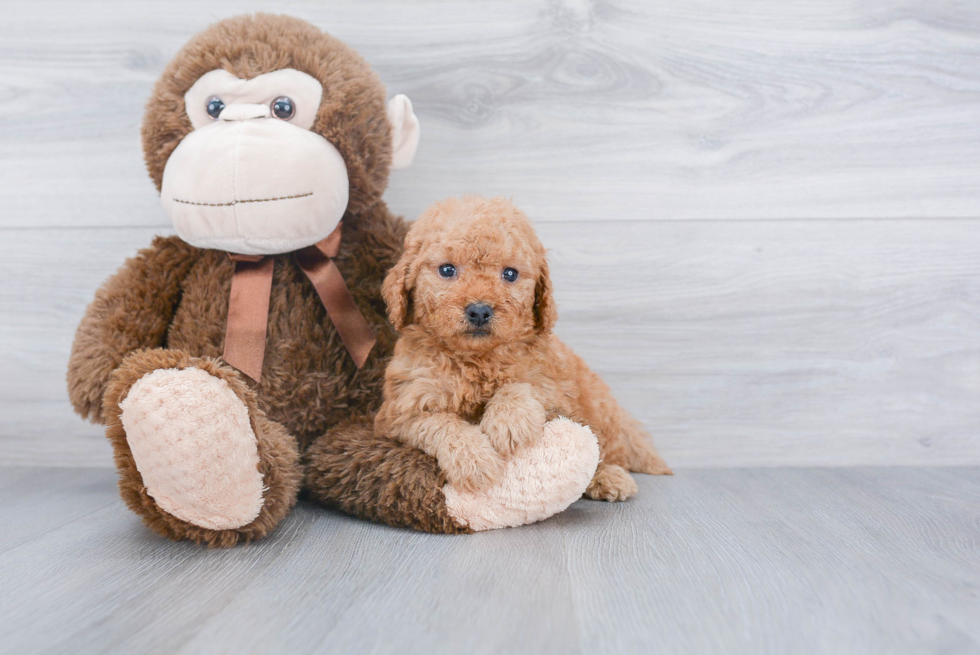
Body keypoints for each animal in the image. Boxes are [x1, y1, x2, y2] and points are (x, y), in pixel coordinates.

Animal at [378, 197, 672, 500]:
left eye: (510, 274)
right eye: (447, 270)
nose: (480, 310)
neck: (477, 359)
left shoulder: (555, 389)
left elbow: (524, 384)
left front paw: (509, 421)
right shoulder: (399, 413)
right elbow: (437, 424)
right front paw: (474, 460)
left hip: (599, 408)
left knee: (605, 449)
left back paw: (610, 477)